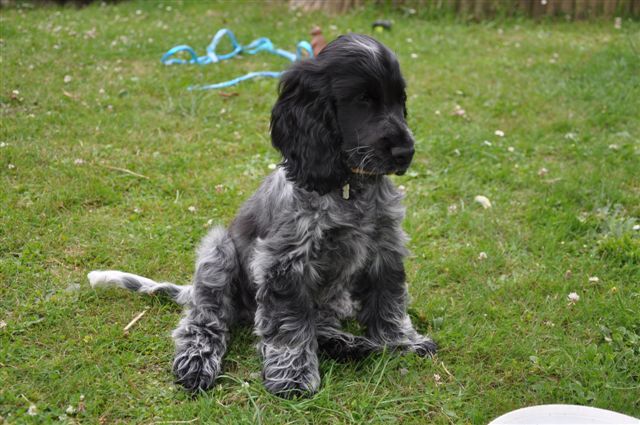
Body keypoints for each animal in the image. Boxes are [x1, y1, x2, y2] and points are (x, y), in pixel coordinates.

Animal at [89, 34, 436, 398]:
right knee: (203, 320)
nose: (405, 152)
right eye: (363, 101)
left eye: (400, 101)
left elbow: (389, 300)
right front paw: (292, 377)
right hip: (217, 253)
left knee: (320, 322)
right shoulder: (284, 262)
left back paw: (347, 344)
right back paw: (197, 361)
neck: (347, 188)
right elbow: (290, 325)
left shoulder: (385, 247)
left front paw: (402, 342)